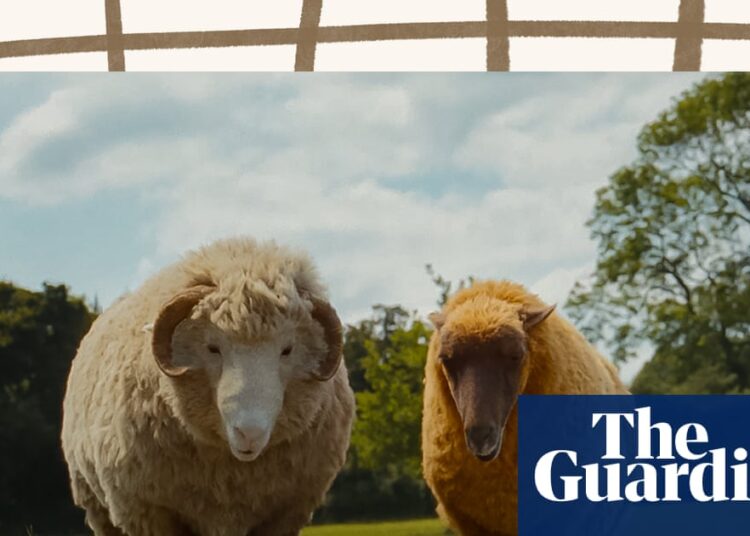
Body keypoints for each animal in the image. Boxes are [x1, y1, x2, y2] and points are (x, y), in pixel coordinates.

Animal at [61, 237, 355, 536]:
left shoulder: (284, 513)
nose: (249, 434)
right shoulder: (151, 512)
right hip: (99, 508)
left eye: (287, 350)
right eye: (212, 348)